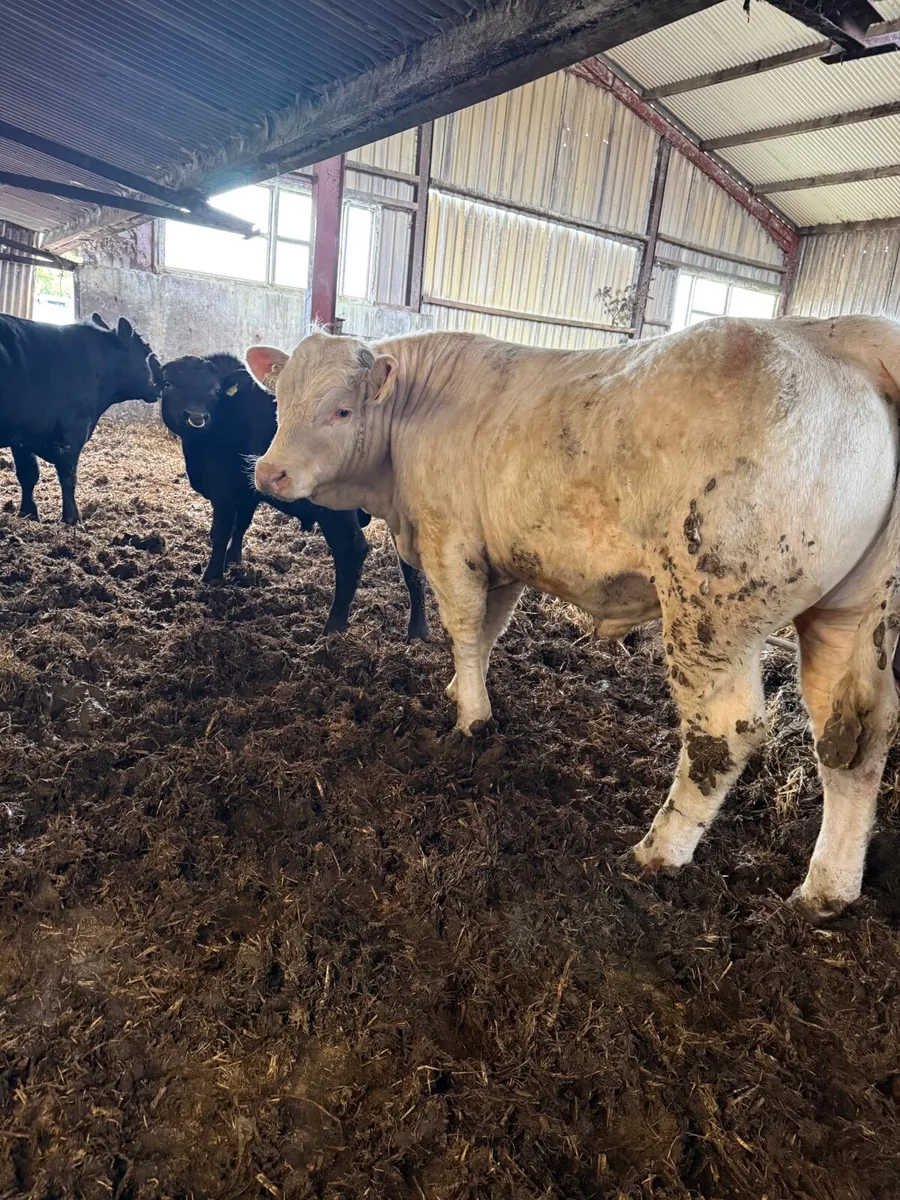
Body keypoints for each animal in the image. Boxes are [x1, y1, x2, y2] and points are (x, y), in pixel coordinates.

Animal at [0, 312, 161, 523]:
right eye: (146, 351)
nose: (162, 374)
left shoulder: (23, 437)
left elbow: (28, 474)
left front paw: (29, 513)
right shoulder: (72, 433)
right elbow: (68, 477)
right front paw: (72, 518)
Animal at [159, 353, 428, 639]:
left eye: (216, 391)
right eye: (169, 384)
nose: (196, 417)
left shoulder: (224, 489)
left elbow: (220, 533)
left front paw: (212, 576)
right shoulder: (247, 491)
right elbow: (240, 526)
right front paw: (234, 562)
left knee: (352, 551)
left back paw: (333, 628)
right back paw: (418, 631)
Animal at [244, 316, 900, 922]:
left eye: (340, 409)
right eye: (278, 402)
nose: (270, 472)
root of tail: (833, 335)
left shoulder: (450, 541)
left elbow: (463, 625)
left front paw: (471, 719)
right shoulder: (501, 557)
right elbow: (488, 631)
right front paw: (463, 687)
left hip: (711, 612)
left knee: (724, 731)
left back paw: (657, 850)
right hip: (846, 618)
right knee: (855, 744)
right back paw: (825, 891)